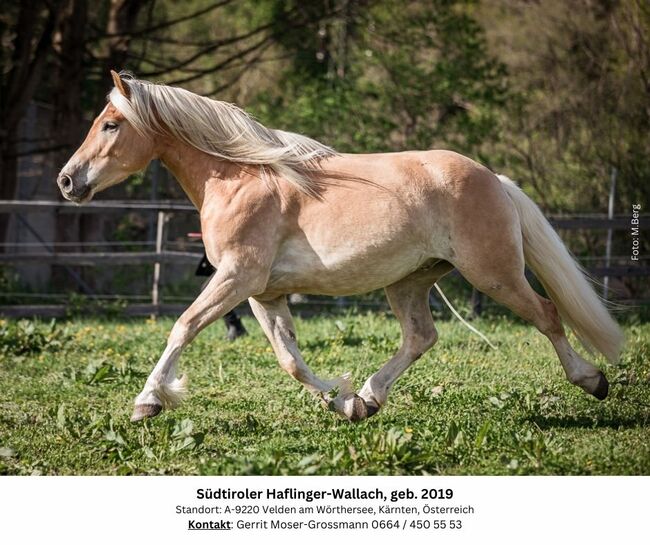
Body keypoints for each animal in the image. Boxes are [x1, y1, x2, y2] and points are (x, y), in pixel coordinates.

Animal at [58, 71, 620, 420]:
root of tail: (493, 178)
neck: (240, 178)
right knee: (421, 337)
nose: (67, 180)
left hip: (495, 274)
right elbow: (289, 357)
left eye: (110, 125)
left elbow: (184, 325)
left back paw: (592, 380)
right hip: (410, 281)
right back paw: (369, 398)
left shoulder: (236, 277)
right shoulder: (263, 293)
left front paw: (148, 401)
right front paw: (343, 401)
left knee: (548, 315)